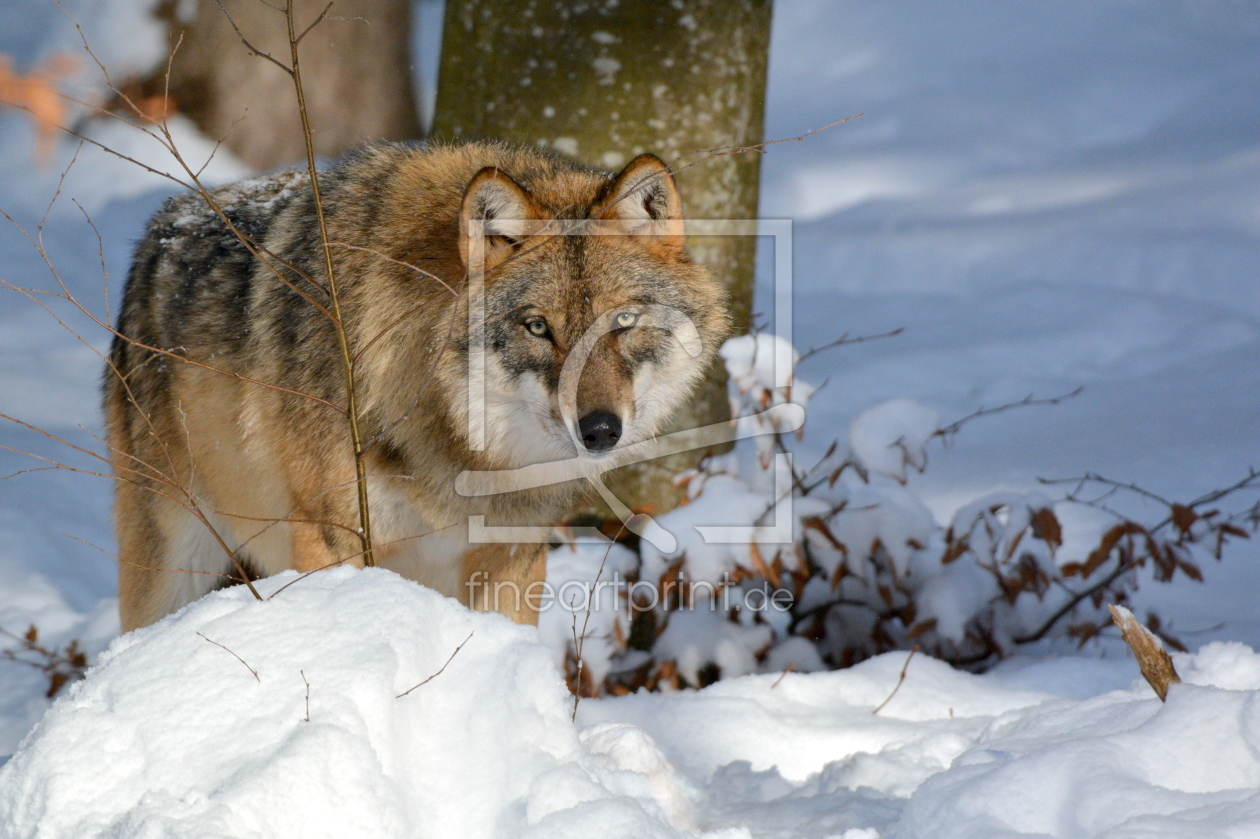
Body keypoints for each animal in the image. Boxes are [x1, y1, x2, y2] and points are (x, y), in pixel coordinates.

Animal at [105, 142, 730, 627]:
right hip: (171, 561)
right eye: (537, 327)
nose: (599, 430)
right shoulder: (331, 540)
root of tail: (161, 228)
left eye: (622, 322)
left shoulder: (512, 557)